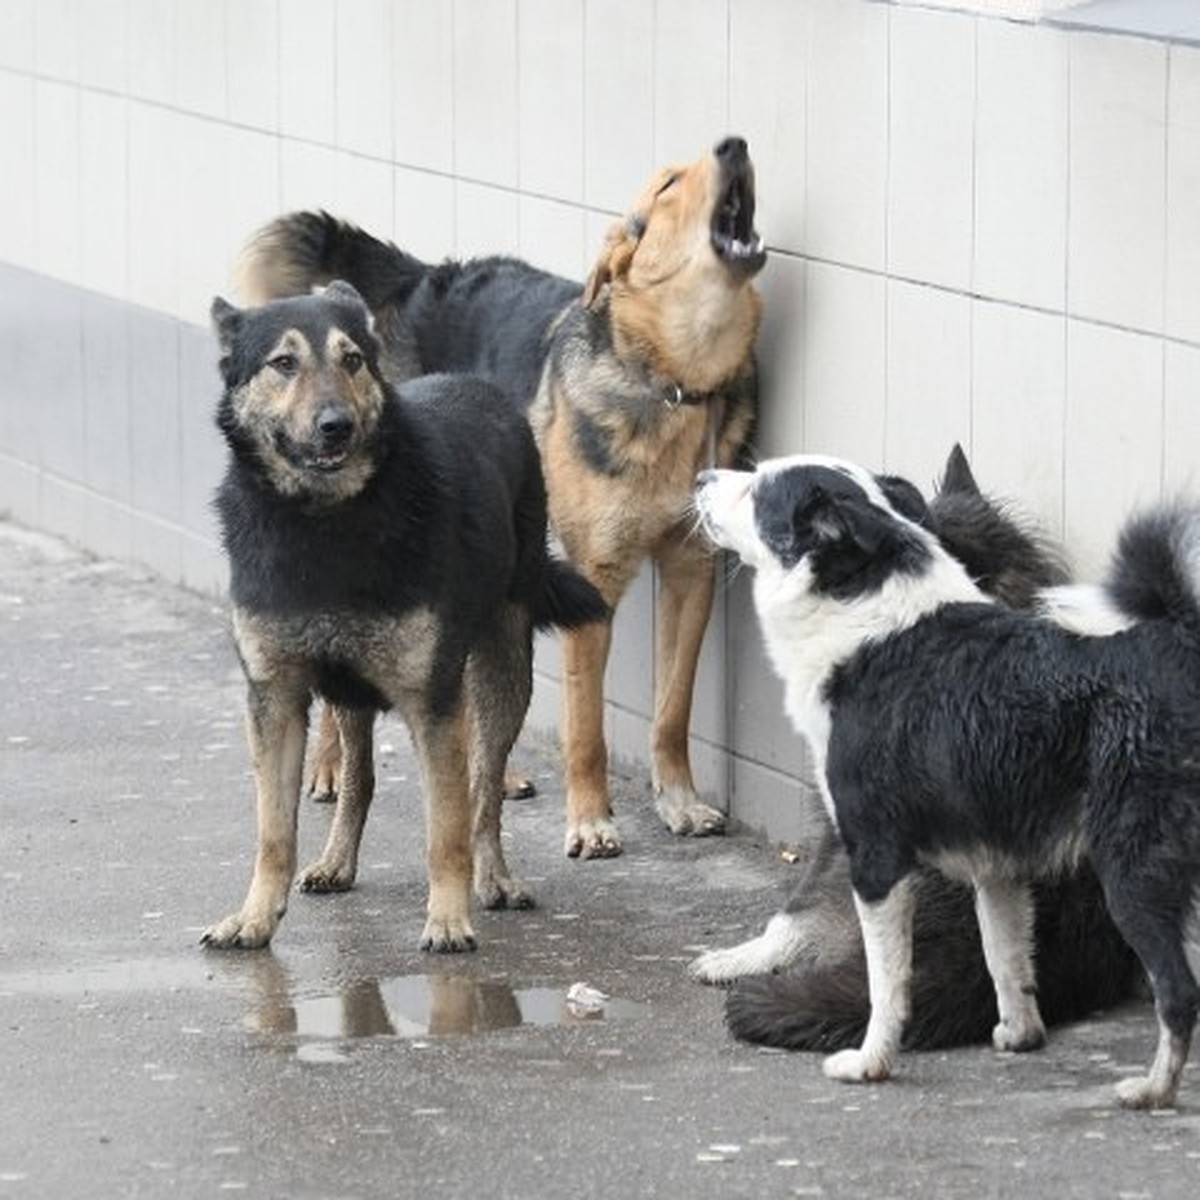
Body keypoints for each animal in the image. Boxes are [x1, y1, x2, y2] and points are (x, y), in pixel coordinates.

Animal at [202, 285, 609, 950]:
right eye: (283, 363)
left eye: (352, 360)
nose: (335, 426)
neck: (326, 522)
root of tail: (476, 384)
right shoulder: (275, 700)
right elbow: (274, 832)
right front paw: (255, 917)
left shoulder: (432, 703)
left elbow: (447, 827)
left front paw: (447, 918)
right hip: (350, 690)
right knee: (360, 777)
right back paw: (337, 861)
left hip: (501, 673)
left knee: (483, 790)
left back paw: (493, 878)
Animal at [238, 136, 768, 859]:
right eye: (667, 185)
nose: (734, 144)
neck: (672, 382)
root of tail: (420, 277)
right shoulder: (595, 579)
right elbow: (585, 724)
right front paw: (591, 819)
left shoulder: (692, 573)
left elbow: (672, 710)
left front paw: (678, 801)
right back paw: (328, 764)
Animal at [696, 453, 1200, 1108]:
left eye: (756, 490)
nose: (700, 478)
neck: (866, 616)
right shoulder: (997, 867)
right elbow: (1007, 960)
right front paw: (1020, 1035)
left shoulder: (875, 859)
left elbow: (887, 984)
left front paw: (871, 1062)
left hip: (1132, 872)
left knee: (1179, 992)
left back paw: (1155, 1089)